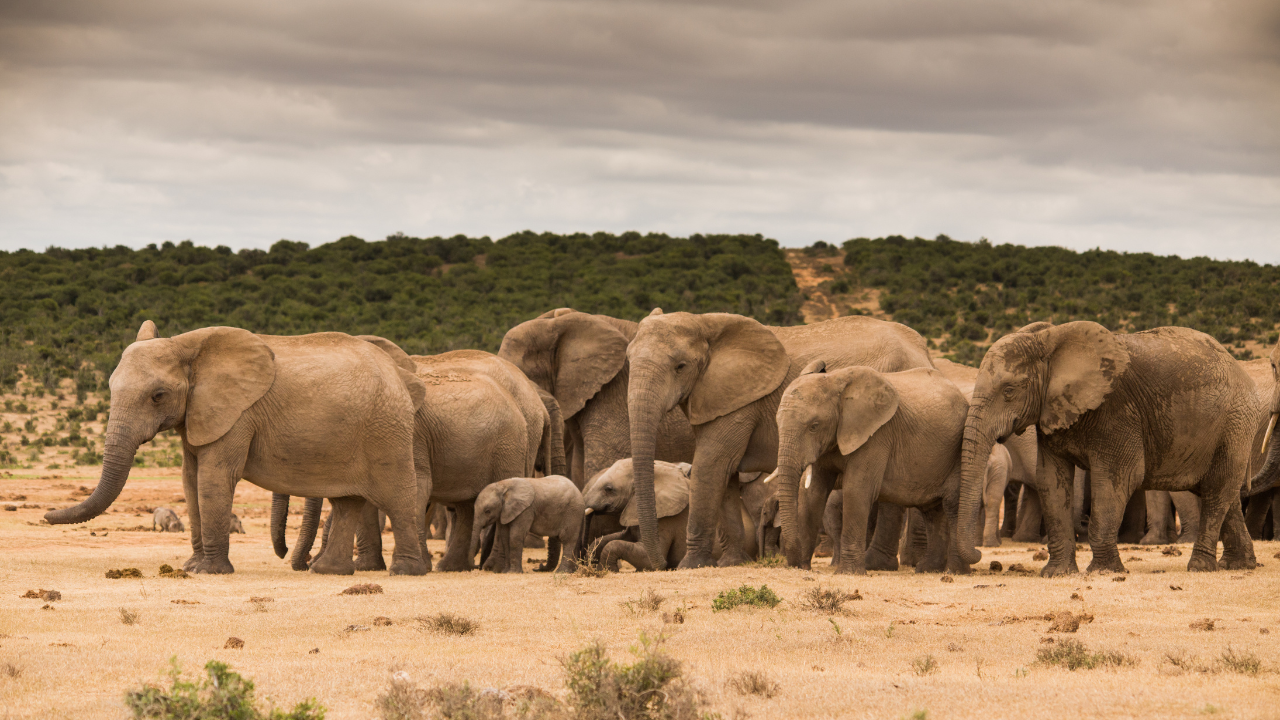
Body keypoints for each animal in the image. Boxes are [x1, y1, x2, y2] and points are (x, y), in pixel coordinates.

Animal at [44, 322, 428, 576]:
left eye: (158, 396)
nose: (46, 515)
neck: (188, 347)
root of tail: (399, 375)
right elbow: (190, 480)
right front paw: (191, 566)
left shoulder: (237, 414)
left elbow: (213, 479)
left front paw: (209, 571)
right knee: (348, 502)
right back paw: (328, 572)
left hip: (386, 428)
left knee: (397, 494)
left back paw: (406, 572)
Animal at [625, 311, 934, 570]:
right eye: (628, 361)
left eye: (680, 366)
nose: (660, 565)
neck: (704, 323)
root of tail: (924, 351)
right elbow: (726, 475)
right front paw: (732, 563)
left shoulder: (740, 400)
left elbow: (711, 465)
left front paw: (691, 566)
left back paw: (878, 565)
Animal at [774, 362, 967, 574]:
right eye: (777, 423)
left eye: (814, 426)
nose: (794, 564)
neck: (836, 381)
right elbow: (813, 493)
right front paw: (802, 567)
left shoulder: (877, 435)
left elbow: (856, 489)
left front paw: (848, 573)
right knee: (933, 511)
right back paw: (928, 569)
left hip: (957, 451)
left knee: (953, 504)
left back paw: (955, 571)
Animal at [958, 321, 1261, 576]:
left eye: (1009, 391)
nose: (981, 556)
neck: (1050, 340)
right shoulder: (1051, 412)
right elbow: (1051, 481)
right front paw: (1057, 574)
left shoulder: (1118, 411)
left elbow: (1115, 481)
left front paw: (1103, 572)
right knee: (1224, 494)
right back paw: (1237, 565)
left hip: (1235, 424)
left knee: (1216, 492)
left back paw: (1200, 567)